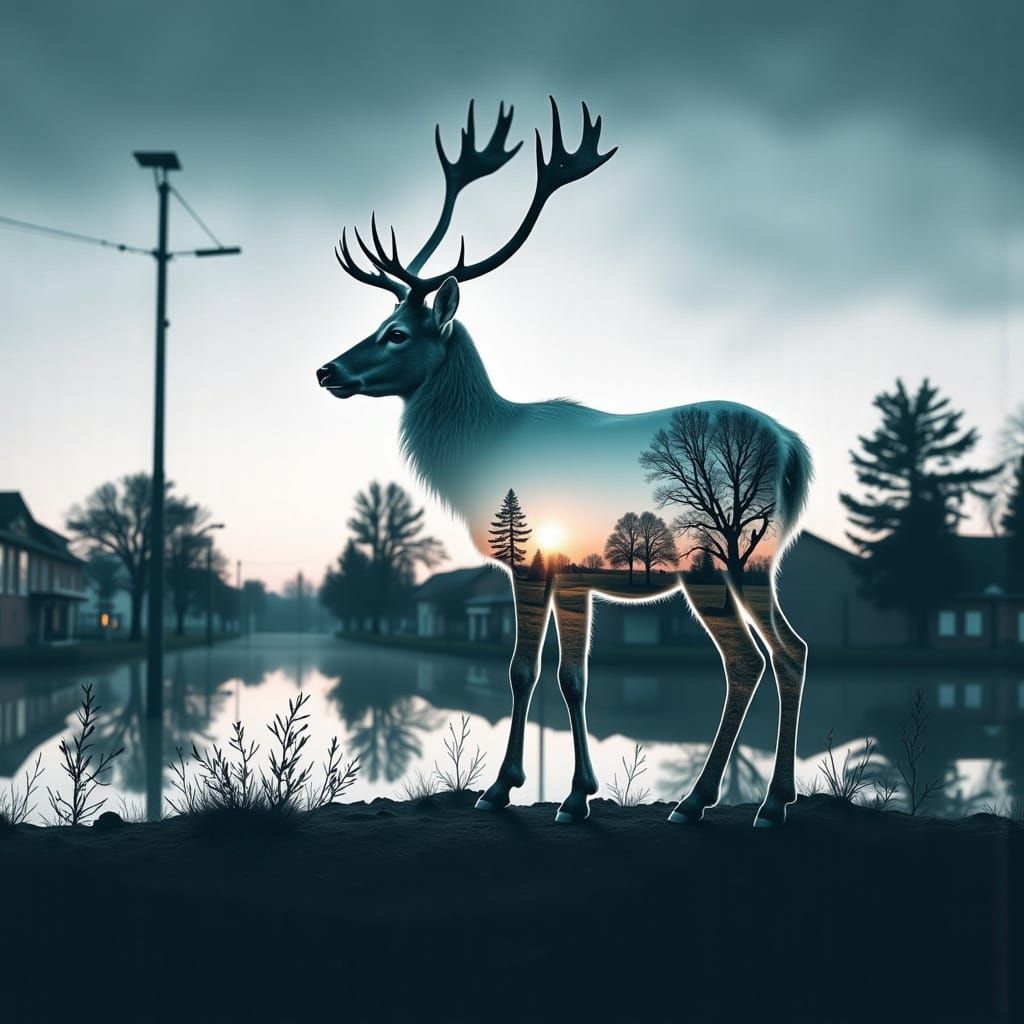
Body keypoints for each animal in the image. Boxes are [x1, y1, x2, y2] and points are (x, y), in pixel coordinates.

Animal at [317, 99, 812, 827]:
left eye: (397, 333)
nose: (328, 370)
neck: (486, 447)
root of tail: (792, 449)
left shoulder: (530, 556)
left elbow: (525, 669)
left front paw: (502, 789)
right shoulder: (574, 570)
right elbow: (574, 675)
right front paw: (577, 794)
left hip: (718, 555)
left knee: (750, 660)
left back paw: (712, 802)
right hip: (758, 561)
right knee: (790, 651)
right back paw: (765, 798)